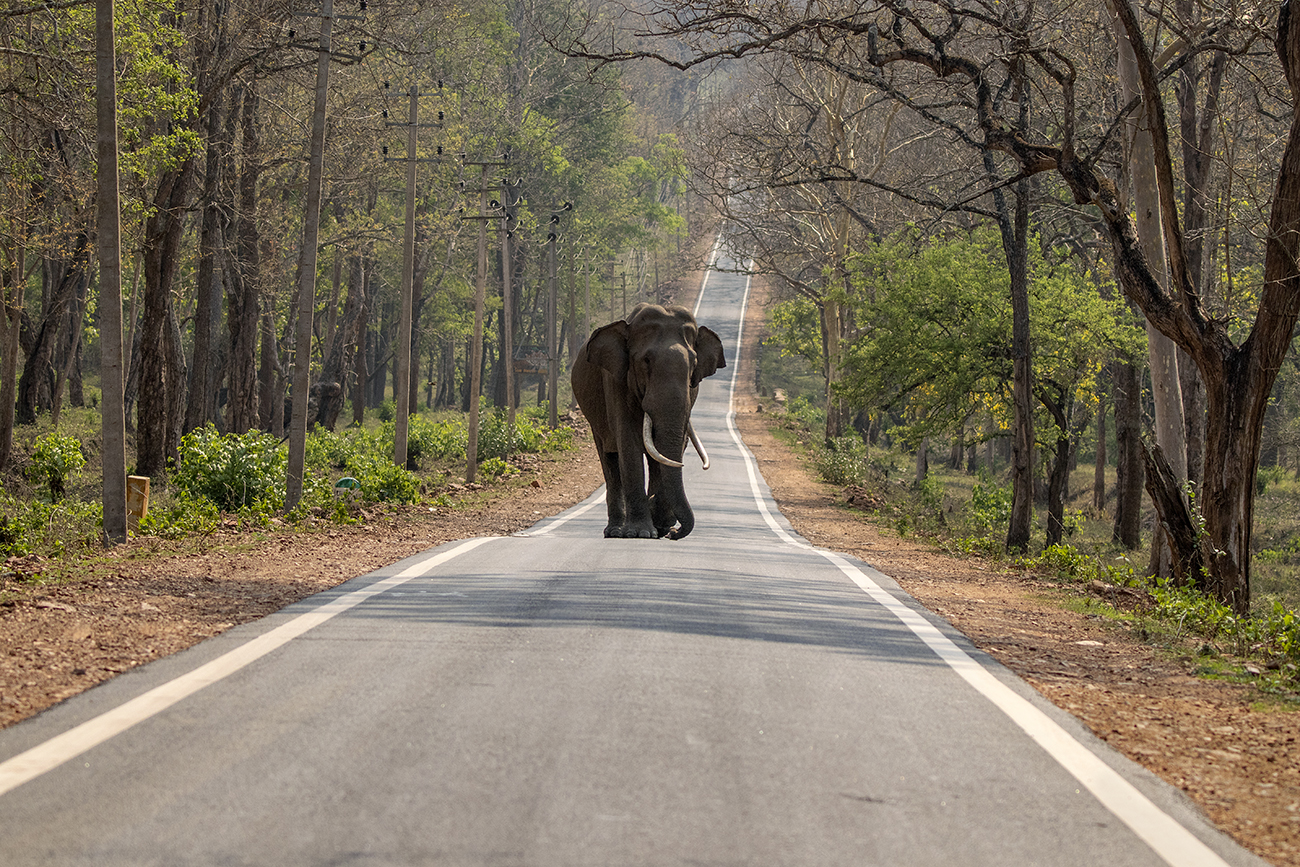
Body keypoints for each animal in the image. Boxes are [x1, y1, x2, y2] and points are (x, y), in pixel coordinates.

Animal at [574, 301, 728, 538]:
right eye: (646, 360)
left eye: (693, 363)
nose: (675, 533)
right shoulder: (616, 381)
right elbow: (628, 444)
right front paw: (640, 532)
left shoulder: (691, 392)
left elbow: (675, 446)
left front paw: (661, 523)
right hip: (593, 418)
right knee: (609, 458)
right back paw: (616, 530)